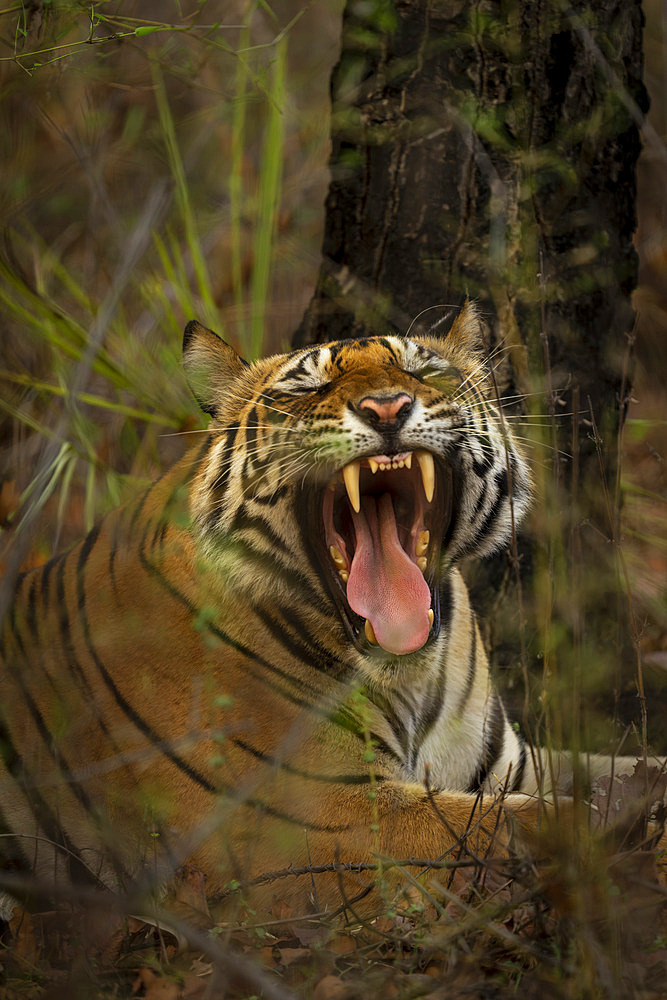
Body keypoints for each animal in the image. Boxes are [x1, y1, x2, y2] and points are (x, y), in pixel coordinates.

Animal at [0, 304, 664, 920]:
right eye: (304, 389)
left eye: (425, 370)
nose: (388, 408)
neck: (411, 671)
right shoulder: (315, 820)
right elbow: (545, 823)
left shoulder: (506, 764)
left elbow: (627, 774)